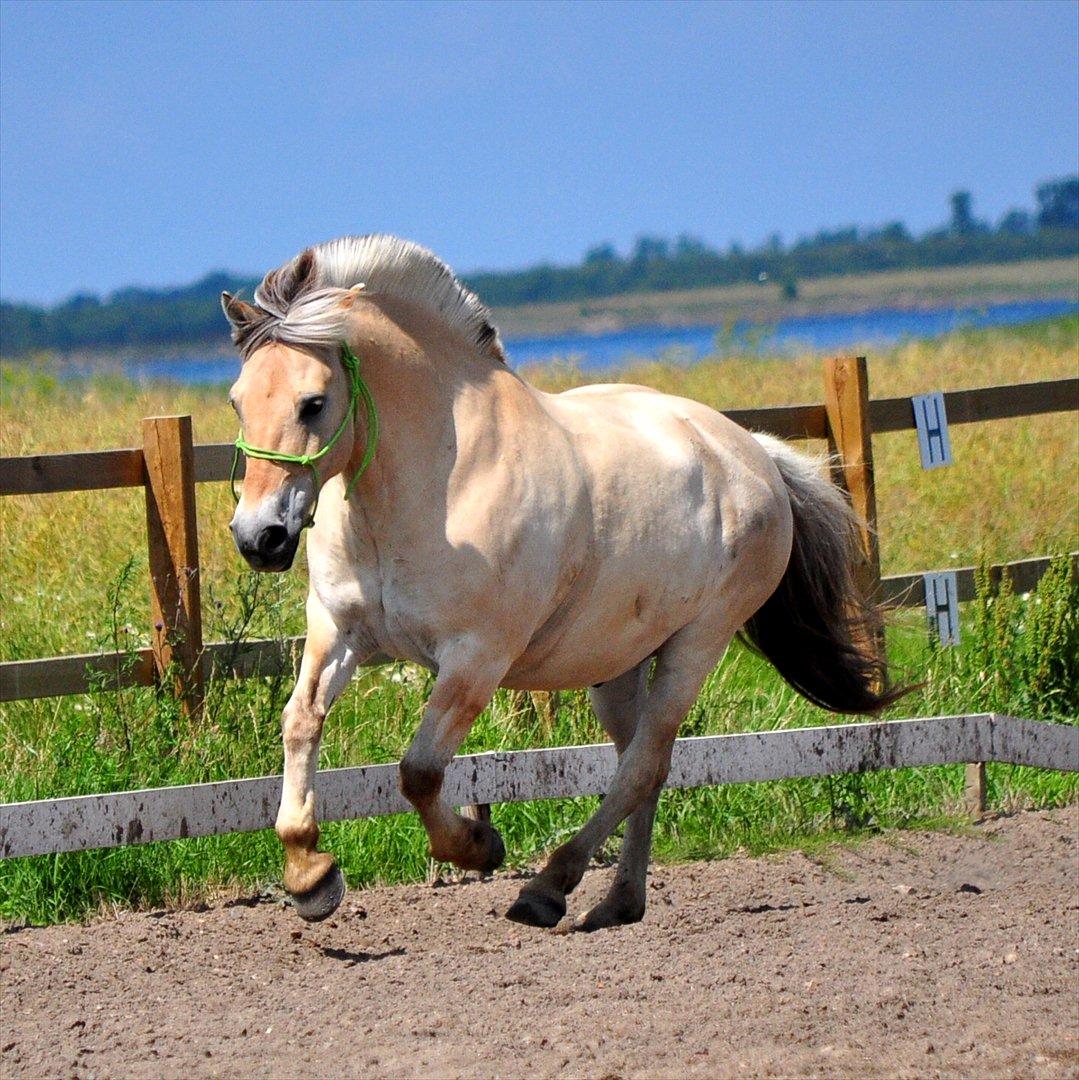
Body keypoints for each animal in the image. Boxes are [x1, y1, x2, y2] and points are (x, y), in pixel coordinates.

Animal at [221, 234, 902, 928]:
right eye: (238, 400)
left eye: (313, 402)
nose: (259, 537)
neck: (438, 481)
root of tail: (756, 453)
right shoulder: (339, 630)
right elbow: (300, 721)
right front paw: (310, 876)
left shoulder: (476, 659)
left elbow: (419, 772)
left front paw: (481, 846)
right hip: (620, 662)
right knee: (642, 764)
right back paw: (618, 900)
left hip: (696, 644)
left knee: (642, 765)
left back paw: (549, 887)